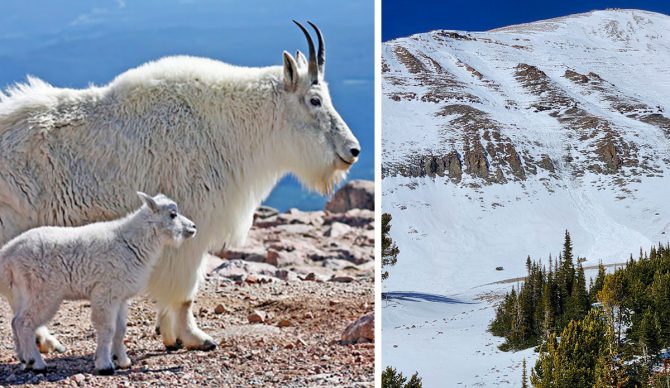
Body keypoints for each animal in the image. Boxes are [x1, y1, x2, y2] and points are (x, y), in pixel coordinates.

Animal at [0, 21, 362, 352]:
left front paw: (169, 334)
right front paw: (196, 338)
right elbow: (186, 292)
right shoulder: (192, 227)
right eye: (314, 100)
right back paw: (45, 341)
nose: (353, 151)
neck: (232, 126)